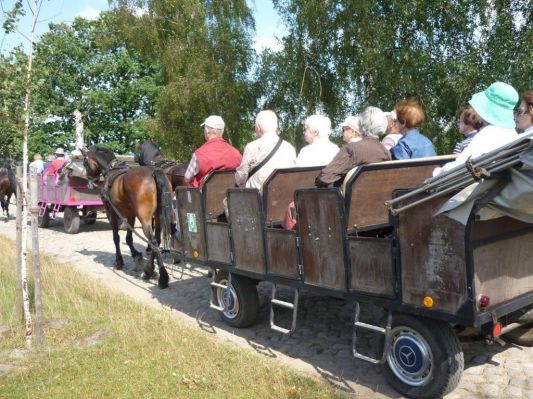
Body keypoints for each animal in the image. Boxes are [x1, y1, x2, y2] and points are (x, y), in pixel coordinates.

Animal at [82, 145, 172, 290]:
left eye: (85, 162)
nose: (89, 182)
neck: (111, 170)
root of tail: (153, 172)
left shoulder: (111, 213)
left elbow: (116, 237)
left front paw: (119, 262)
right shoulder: (130, 214)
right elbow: (129, 237)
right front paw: (135, 254)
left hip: (145, 218)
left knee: (152, 241)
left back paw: (162, 277)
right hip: (157, 217)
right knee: (157, 241)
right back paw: (149, 271)